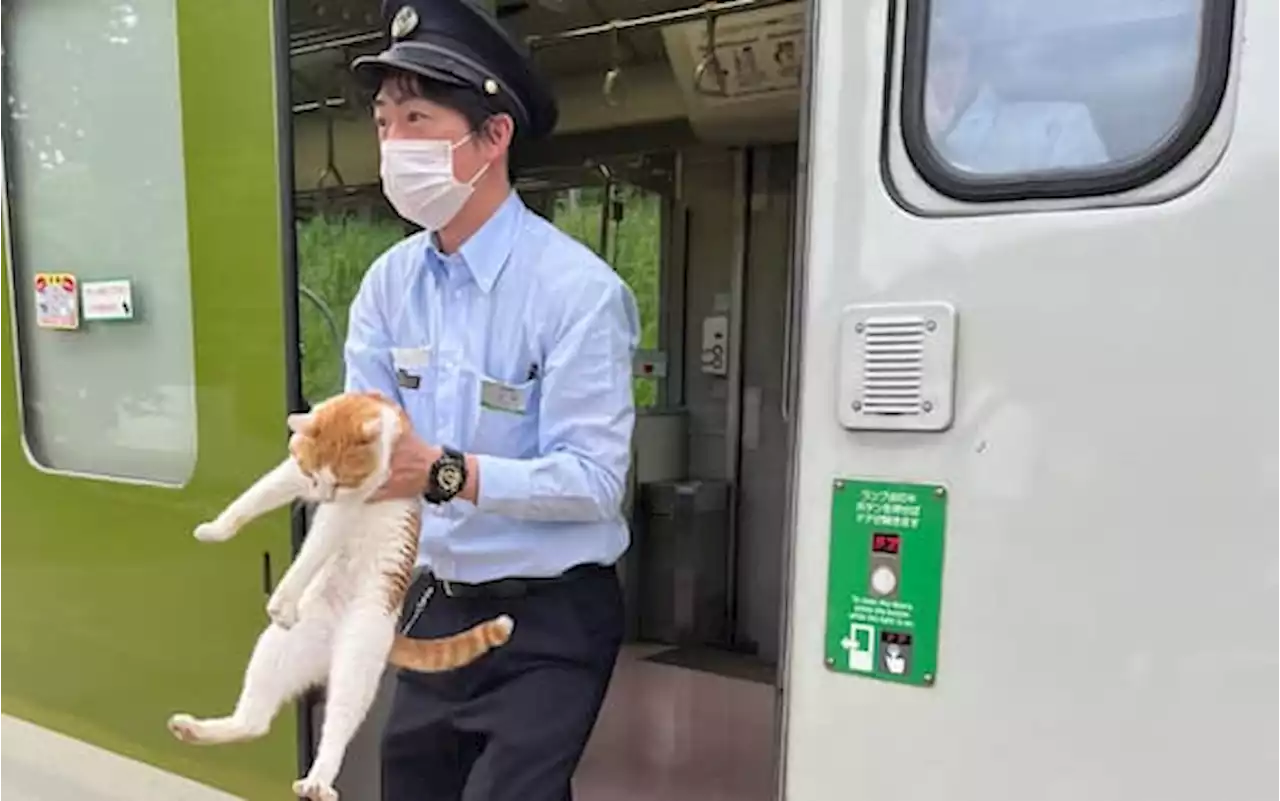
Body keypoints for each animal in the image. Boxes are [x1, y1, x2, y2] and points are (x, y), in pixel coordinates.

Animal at [167, 388, 512, 793]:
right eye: (314, 474)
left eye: (341, 480)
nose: (322, 494)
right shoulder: (292, 472)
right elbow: (253, 497)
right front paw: (216, 529)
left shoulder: (348, 504)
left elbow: (310, 554)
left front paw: (284, 597)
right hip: (278, 649)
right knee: (255, 722)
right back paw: (198, 730)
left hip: (357, 661)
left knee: (336, 728)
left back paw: (318, 781)